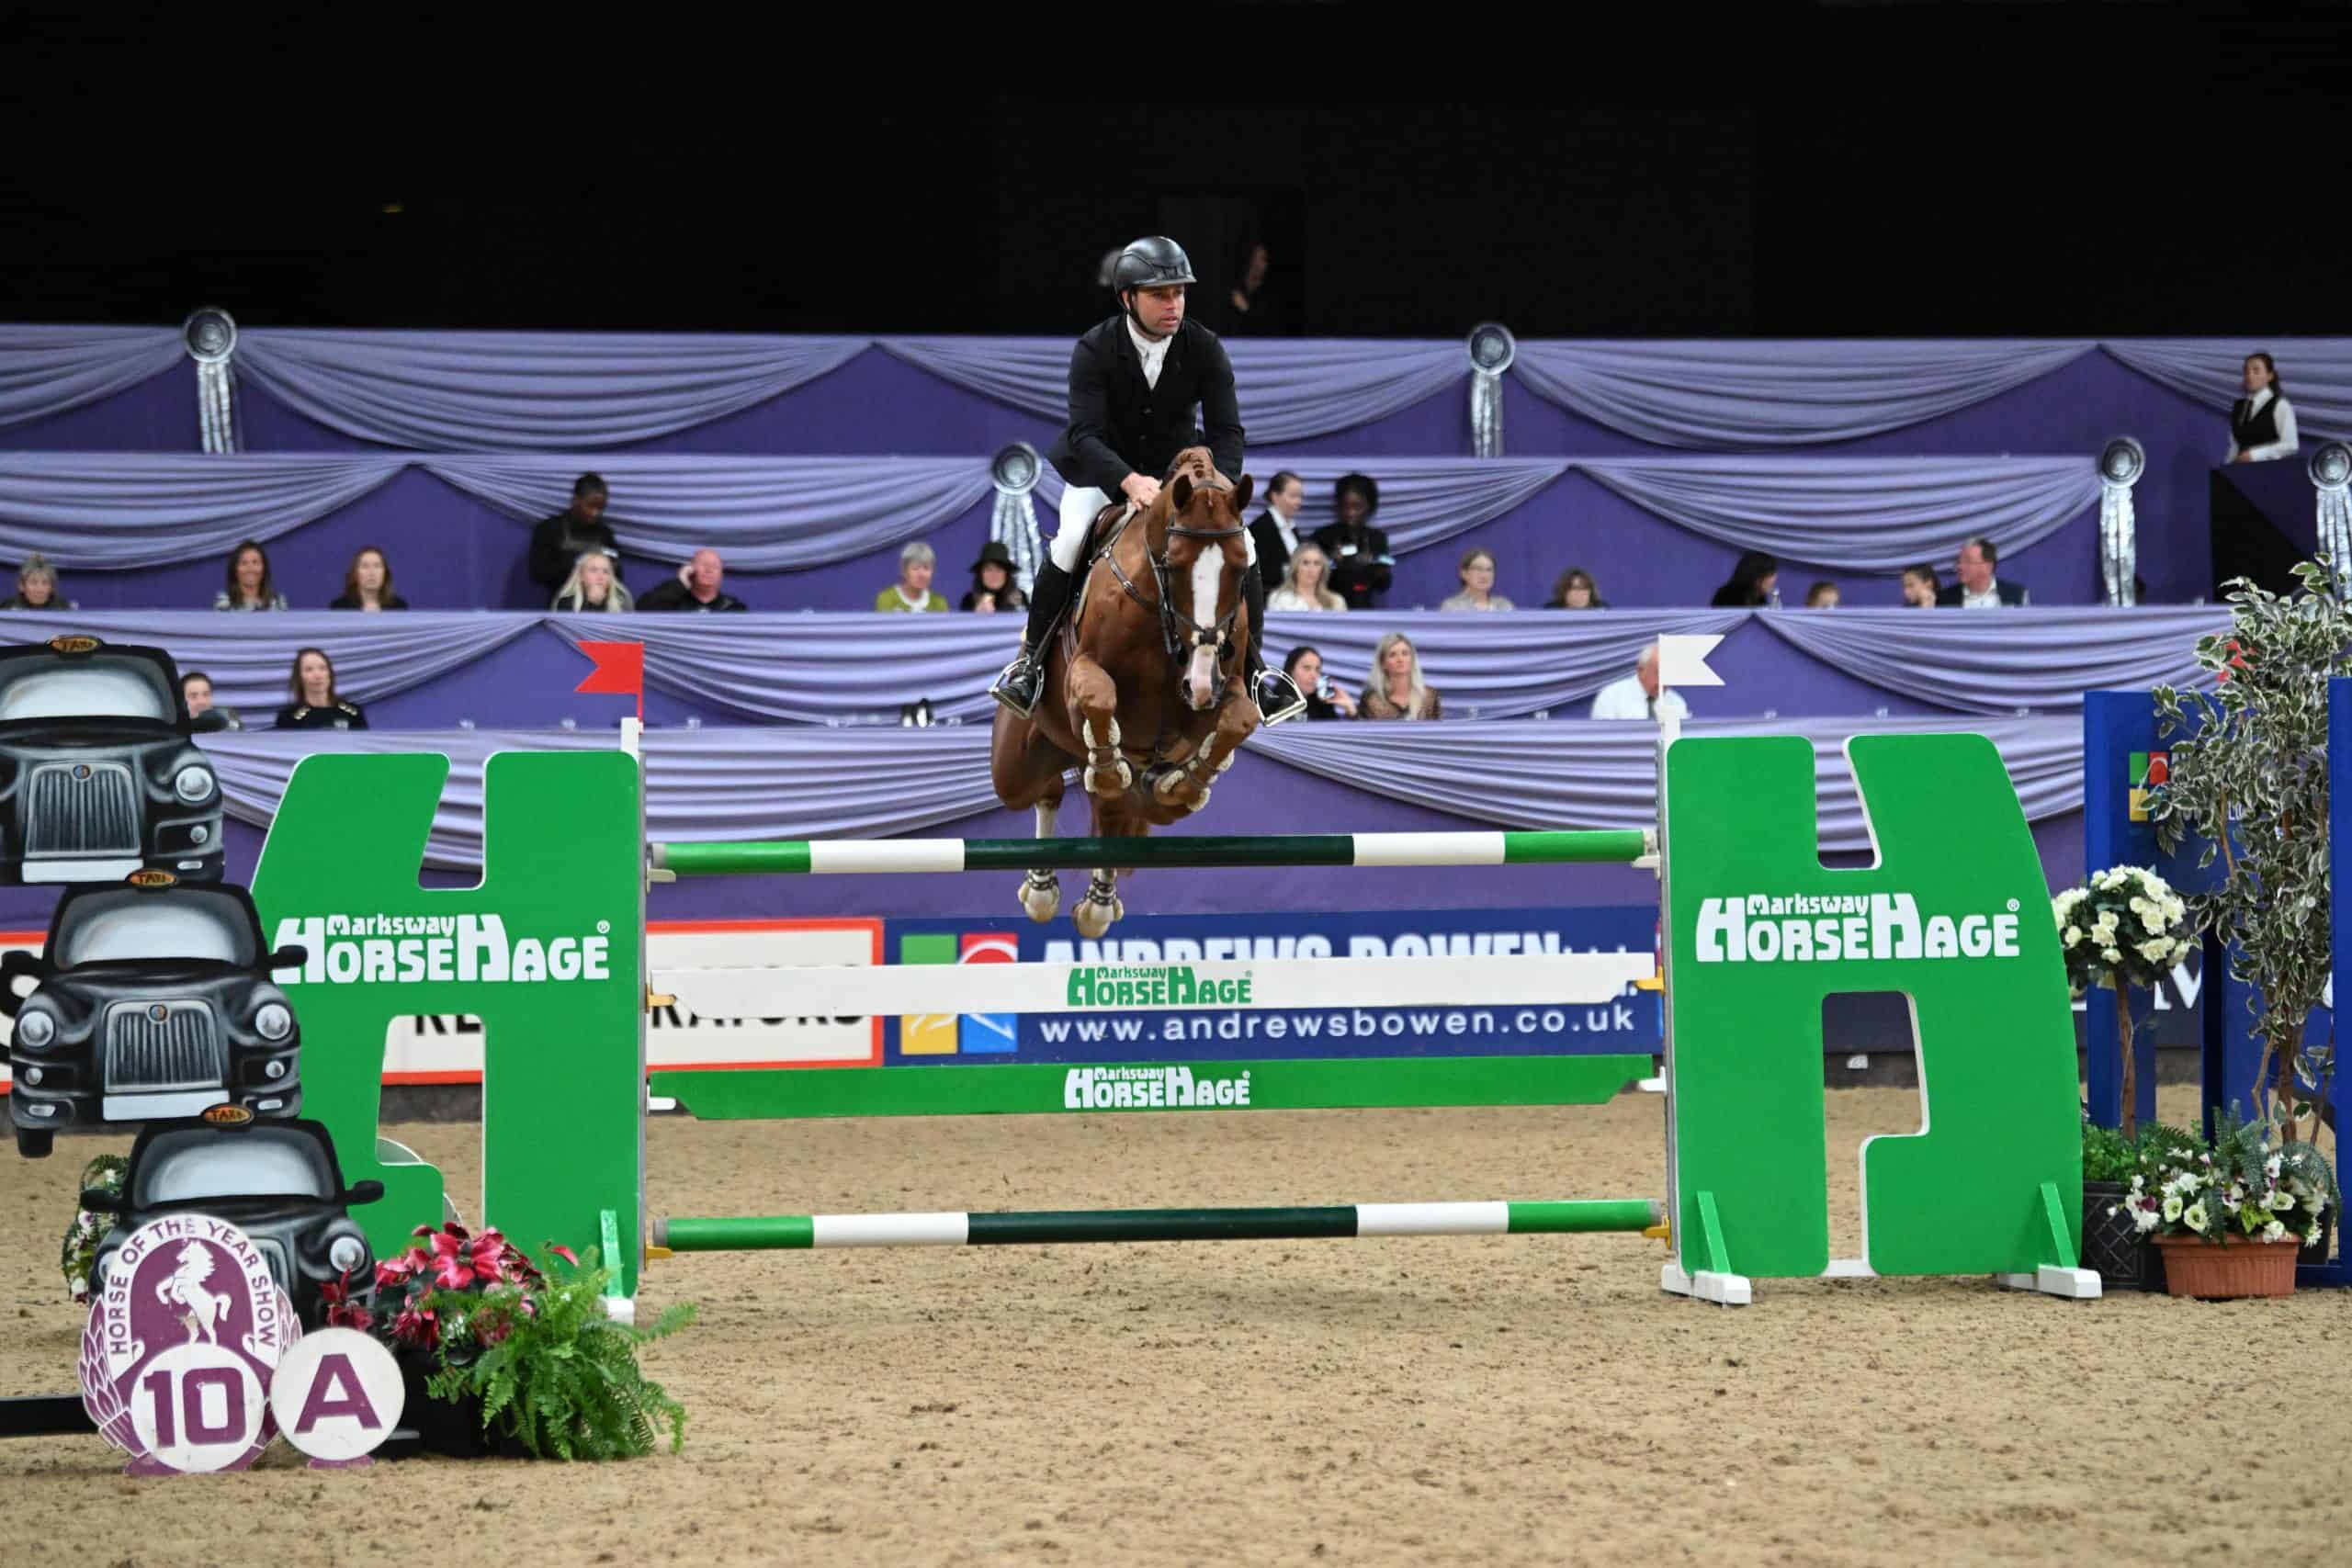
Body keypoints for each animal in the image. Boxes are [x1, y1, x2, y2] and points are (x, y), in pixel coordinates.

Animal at [990, 447, 1262, 937]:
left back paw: (1098, 902)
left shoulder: (1219, 689)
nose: (1199, 685)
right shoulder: (1081, 673)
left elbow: (1240, 719)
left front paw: (1187, 782)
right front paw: (1109, 768)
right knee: (1046, 791)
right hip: (1017, 766)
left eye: (1238, 567)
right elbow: (1098, 696)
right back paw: (1042, 889)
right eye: (1173, 564)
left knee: (1117, 818)